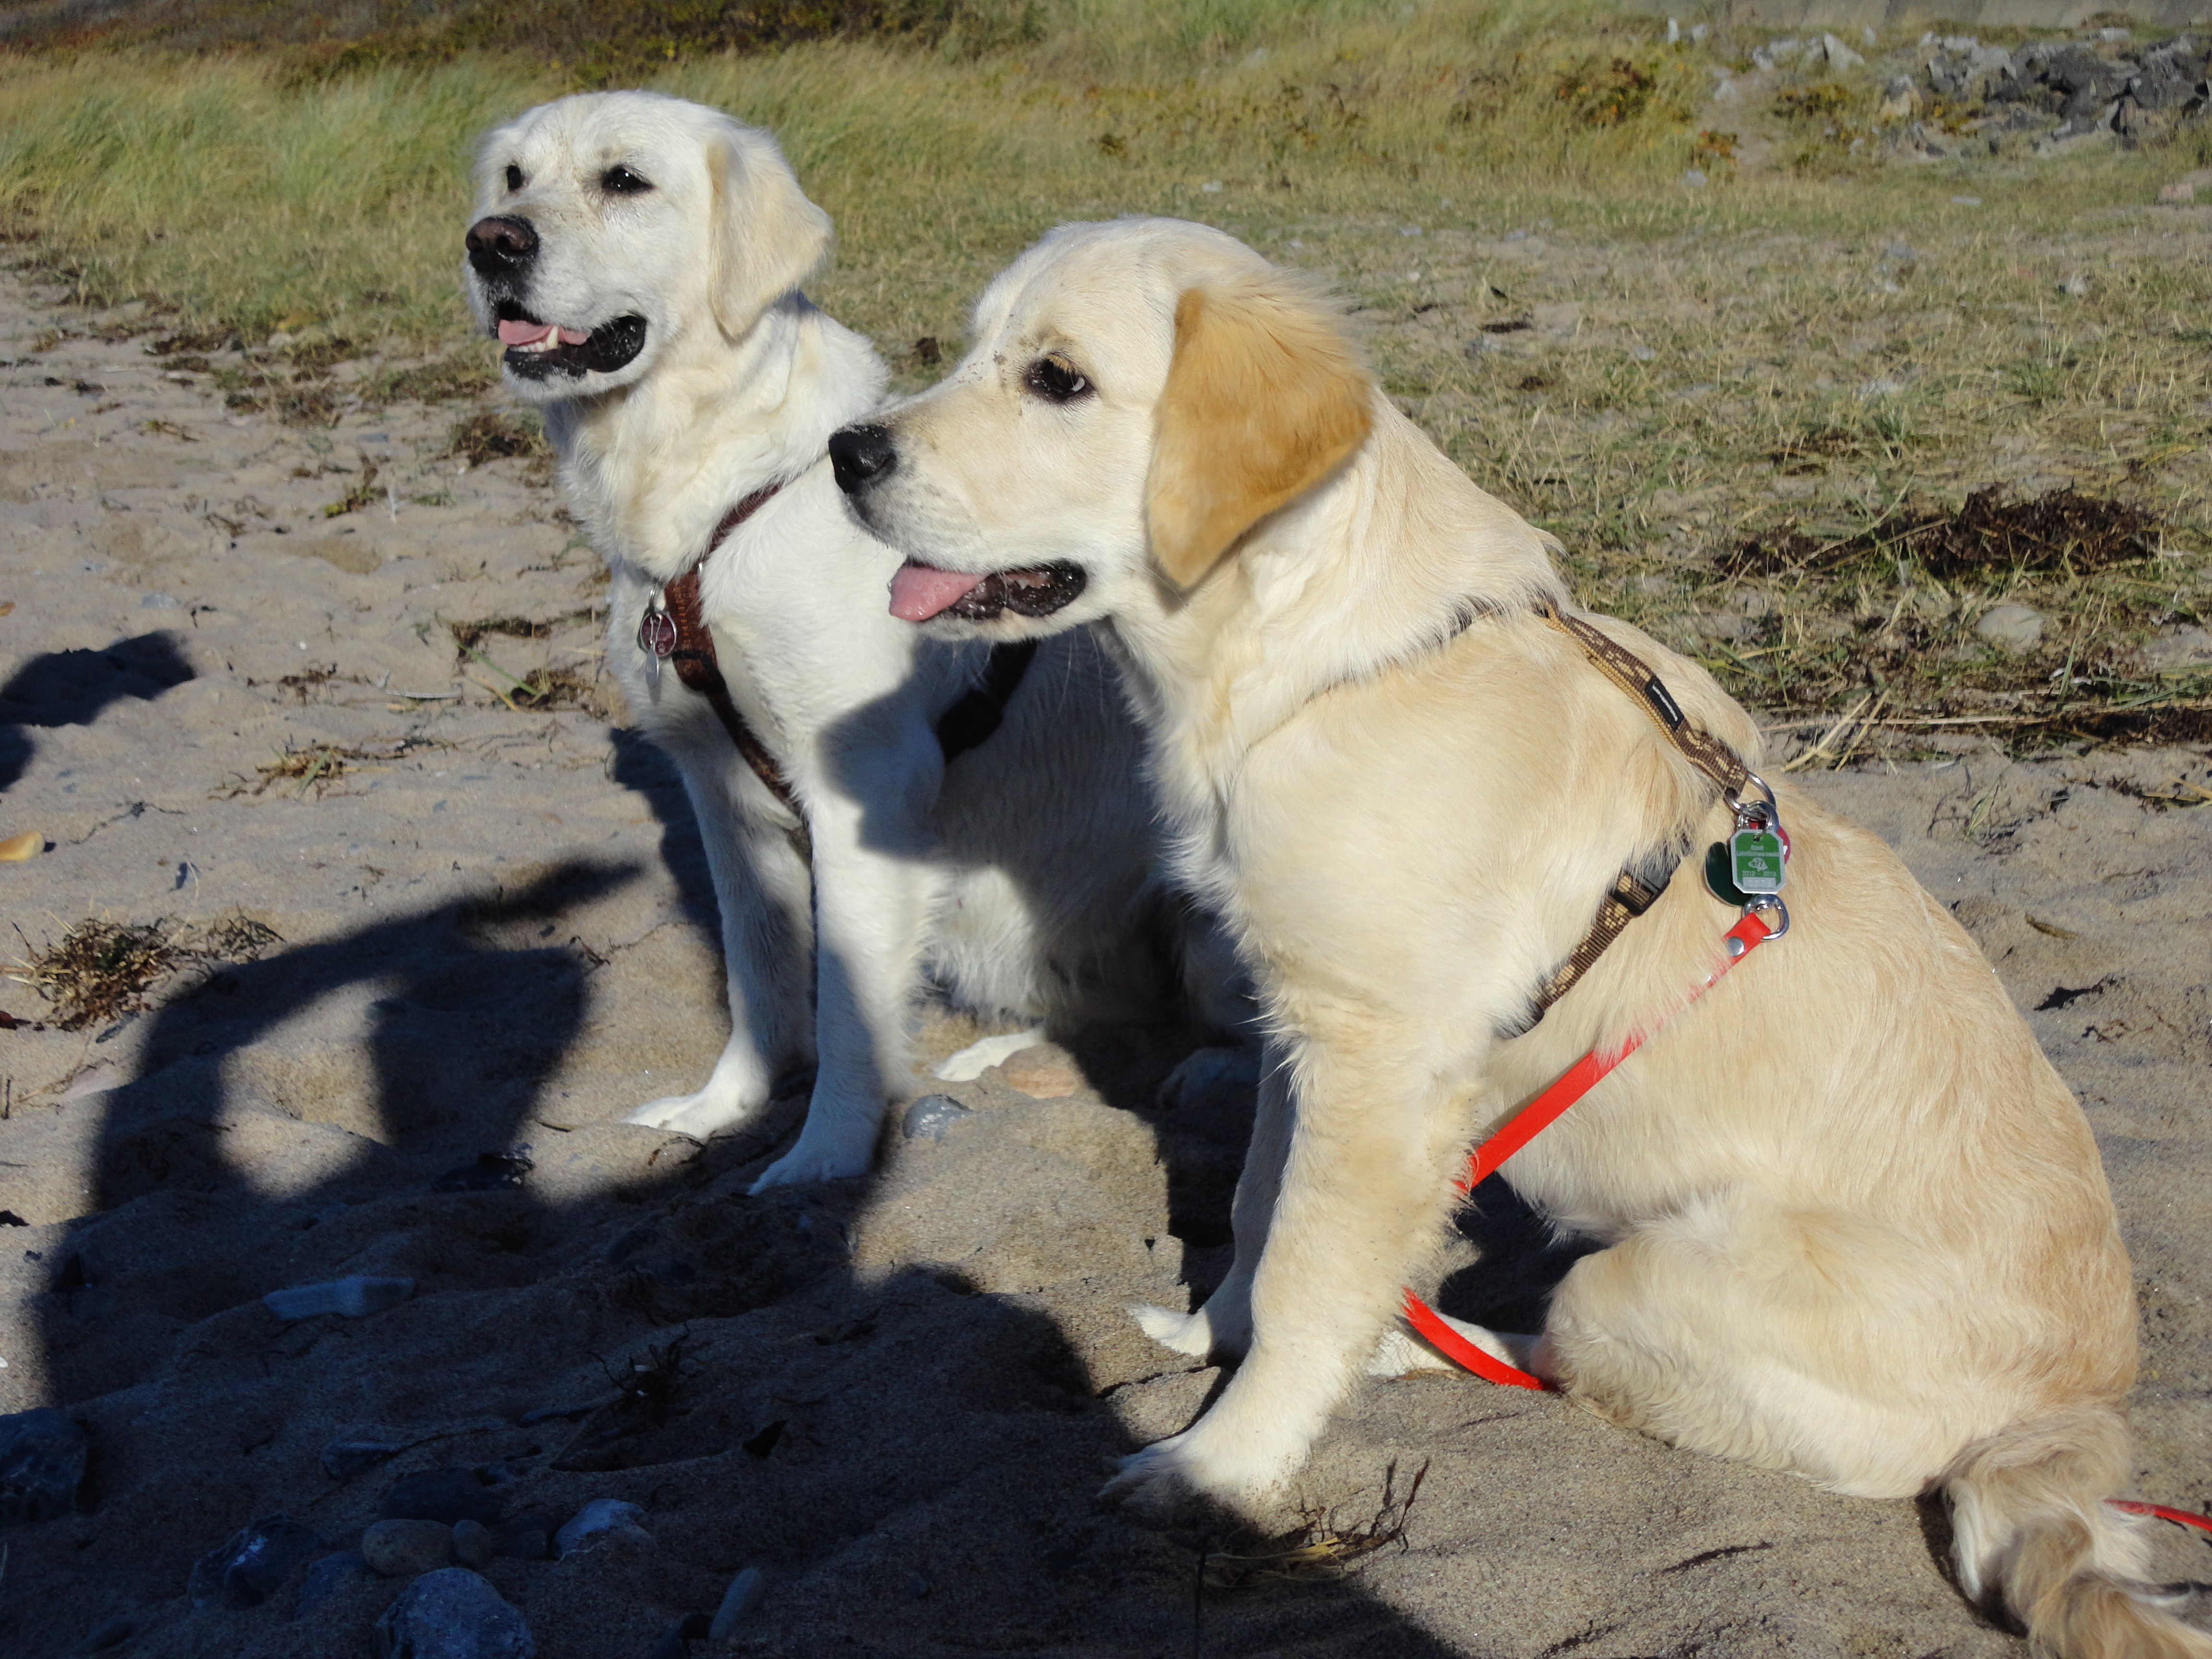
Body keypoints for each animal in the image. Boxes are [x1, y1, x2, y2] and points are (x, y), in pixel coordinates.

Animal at [460, 100, 1238, 1194]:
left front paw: (823, 1159)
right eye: (513, 180)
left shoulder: (859, 794)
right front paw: (720, 1113)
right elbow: (759, 981)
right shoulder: (722, 798)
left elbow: (850, 1010)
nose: (491, 243)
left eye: (626, 181)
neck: (723, 494)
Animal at [831, 217, 2212, 1659]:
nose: (846, 456)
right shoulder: (1302, 1027)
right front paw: (1219, 1333)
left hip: (1628, 1284)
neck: (1316, 662)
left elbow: (1307, 1273)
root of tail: (2079, 1413)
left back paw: (1418, 1341)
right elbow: (1264, 1211)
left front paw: (1221, 1463)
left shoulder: (1381, 1066)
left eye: (1058, 380)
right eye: (971, 345)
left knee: (1574, 1361)